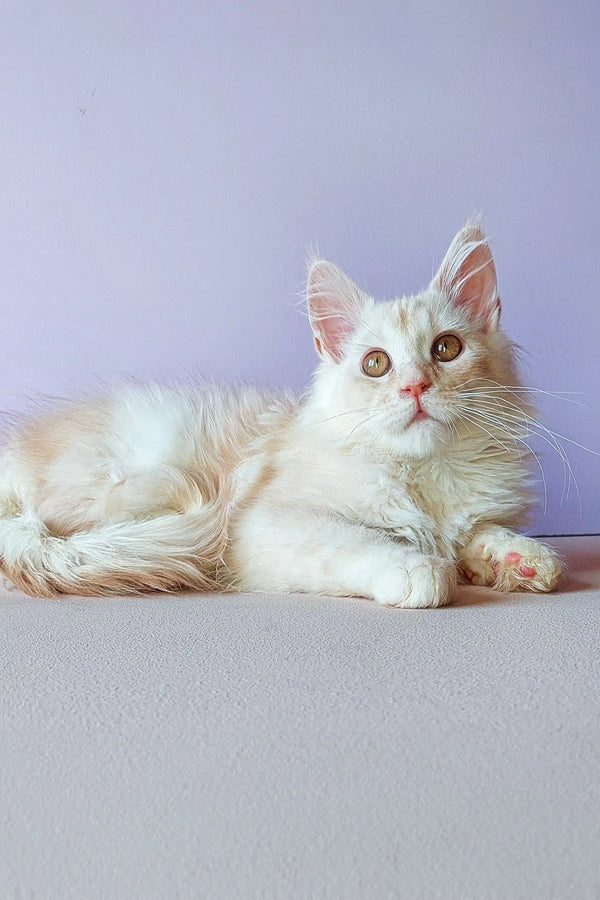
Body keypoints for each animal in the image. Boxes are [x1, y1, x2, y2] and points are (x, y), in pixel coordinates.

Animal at [0, 224, 564, 604]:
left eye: (446, 349)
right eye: (376, 364)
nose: (415, 386)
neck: (426, 474)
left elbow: (480, 532)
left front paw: (520, 560)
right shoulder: (265, 524)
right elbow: (359, 541)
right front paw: (421, 570)